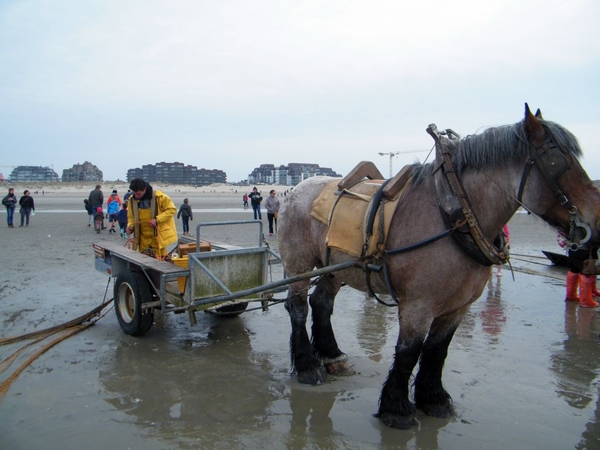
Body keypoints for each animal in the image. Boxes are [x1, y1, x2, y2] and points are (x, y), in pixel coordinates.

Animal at [278, 104, 600, 428]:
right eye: (559, 162)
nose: (596, 222)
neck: (453, 217)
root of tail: (295, 191)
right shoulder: (418, 305)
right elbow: (409, 352)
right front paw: (396, 409)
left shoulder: (458, 306)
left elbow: (436, 351)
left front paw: (432, 398)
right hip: (300, 264)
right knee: (298, 307)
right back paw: (308, 366)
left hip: (335, 267)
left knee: (321, 302)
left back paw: (331, 356)